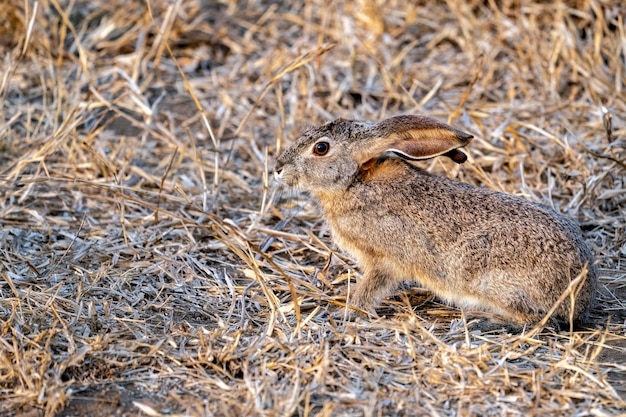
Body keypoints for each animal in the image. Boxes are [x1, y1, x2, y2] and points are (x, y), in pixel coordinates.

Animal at [272, 115, 596, 326]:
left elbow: (370, 289)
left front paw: (345, 313)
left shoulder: (384, 260)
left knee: (535, 319)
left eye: (321, 148)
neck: (354, 182)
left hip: (490, 280)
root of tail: (581, 297)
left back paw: (481, 317)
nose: (277, 168)